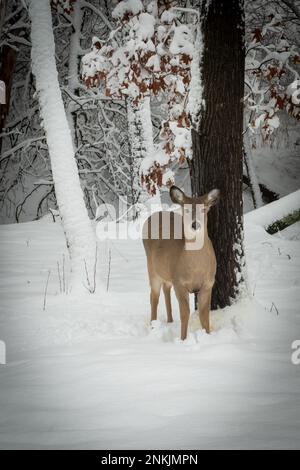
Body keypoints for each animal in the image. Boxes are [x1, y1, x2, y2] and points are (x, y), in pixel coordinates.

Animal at [142, 185, 219, 342]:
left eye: (204, 209)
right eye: (187, 209)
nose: (195, 224)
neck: (196, 268)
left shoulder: (208, 283)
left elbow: (204, 313)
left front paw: (207, 336)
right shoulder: (179, 282)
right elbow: (185, 313)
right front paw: (183, 340)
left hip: (166, 272)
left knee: (166, 289)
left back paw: (170, 320)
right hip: (152, 268)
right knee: (154, 296)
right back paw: (153, 326)